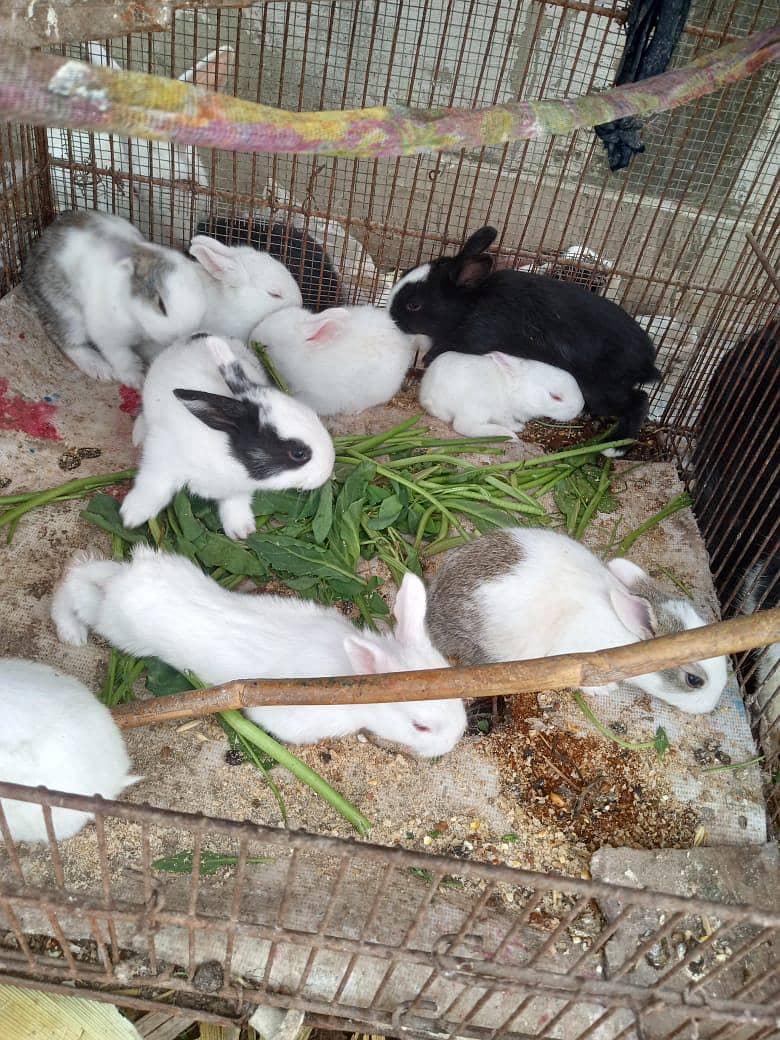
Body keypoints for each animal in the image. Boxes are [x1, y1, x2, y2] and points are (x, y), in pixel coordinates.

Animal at [22, 210, 207, 387]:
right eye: (161, 305)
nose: (179, 336)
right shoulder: (109, 336)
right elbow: (121, 357)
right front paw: (136, 379)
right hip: (66, 313)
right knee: (68, 342)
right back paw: (99, 368)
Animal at [51, 547, 467, 759]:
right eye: (421, 727)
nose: (454, 741)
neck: (349, 681)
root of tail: (129, 577)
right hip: (115, 625)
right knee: (74, 583)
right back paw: (71, 633)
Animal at [121, 333, 335, 539]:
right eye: (298, 453)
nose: (329, 467)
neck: (228, 458)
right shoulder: (161, 456)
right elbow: (154, 485)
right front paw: (131, 516)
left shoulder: (237, 489)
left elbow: (235, 503)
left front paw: (242, 531)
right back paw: (138, 435)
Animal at [419, 350, 585, 438]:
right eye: (556, 397)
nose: (581, 407)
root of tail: (429, 396)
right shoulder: (502, 413)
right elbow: (508, 421)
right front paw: (519, 427)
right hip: (477, 409)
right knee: (462, 426)